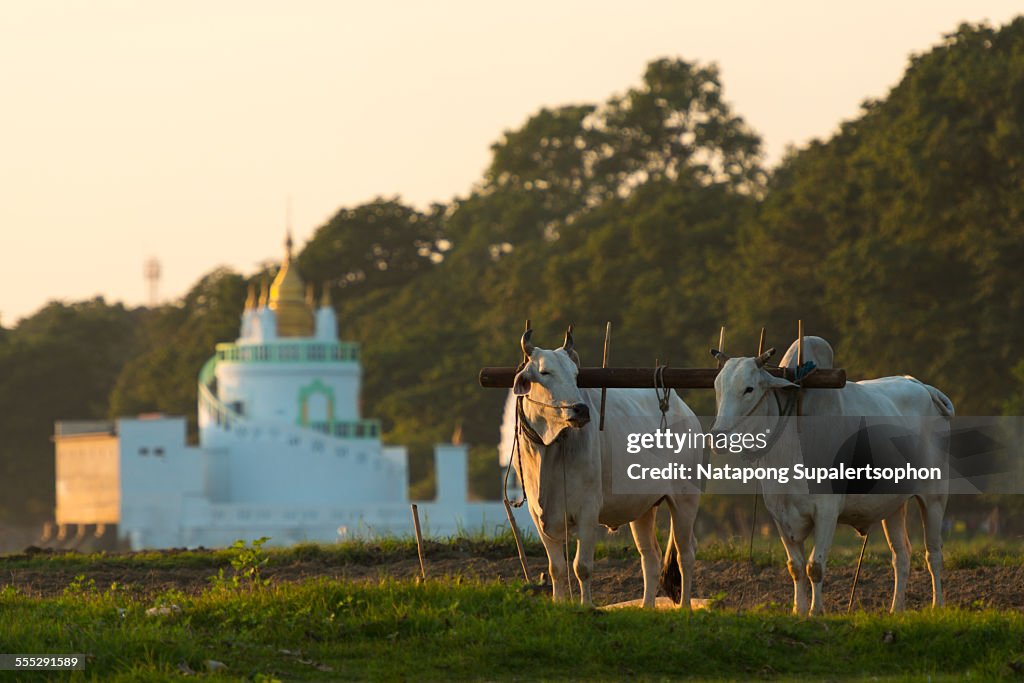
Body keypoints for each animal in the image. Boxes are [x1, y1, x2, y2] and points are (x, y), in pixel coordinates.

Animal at [512, 327, 704, 610]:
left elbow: (582, 567)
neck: (548, 450)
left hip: (686, 499)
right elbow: (557, 568)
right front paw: (559, 603)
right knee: (651, 556)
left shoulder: (588, 510)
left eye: (576, 375)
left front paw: (587, 606)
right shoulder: (539, 516)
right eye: (545, 372)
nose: (580, 409)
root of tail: (686, 412)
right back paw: (646, 607)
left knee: (685, 554)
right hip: (643, 508)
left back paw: (686, 607)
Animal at [712, 339, 950, 618]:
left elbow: (814, 566)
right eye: (717, 387)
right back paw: (896, 609)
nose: (717, 437)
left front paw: (816, 611)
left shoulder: (826, 511)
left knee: (933, 554)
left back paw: (937, 605)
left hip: (934, 497)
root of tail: (921, 386)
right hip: (893, 505)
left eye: (748, 389)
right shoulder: (780, 515)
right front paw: (799, 610)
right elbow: (796, 566)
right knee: (901, 555)